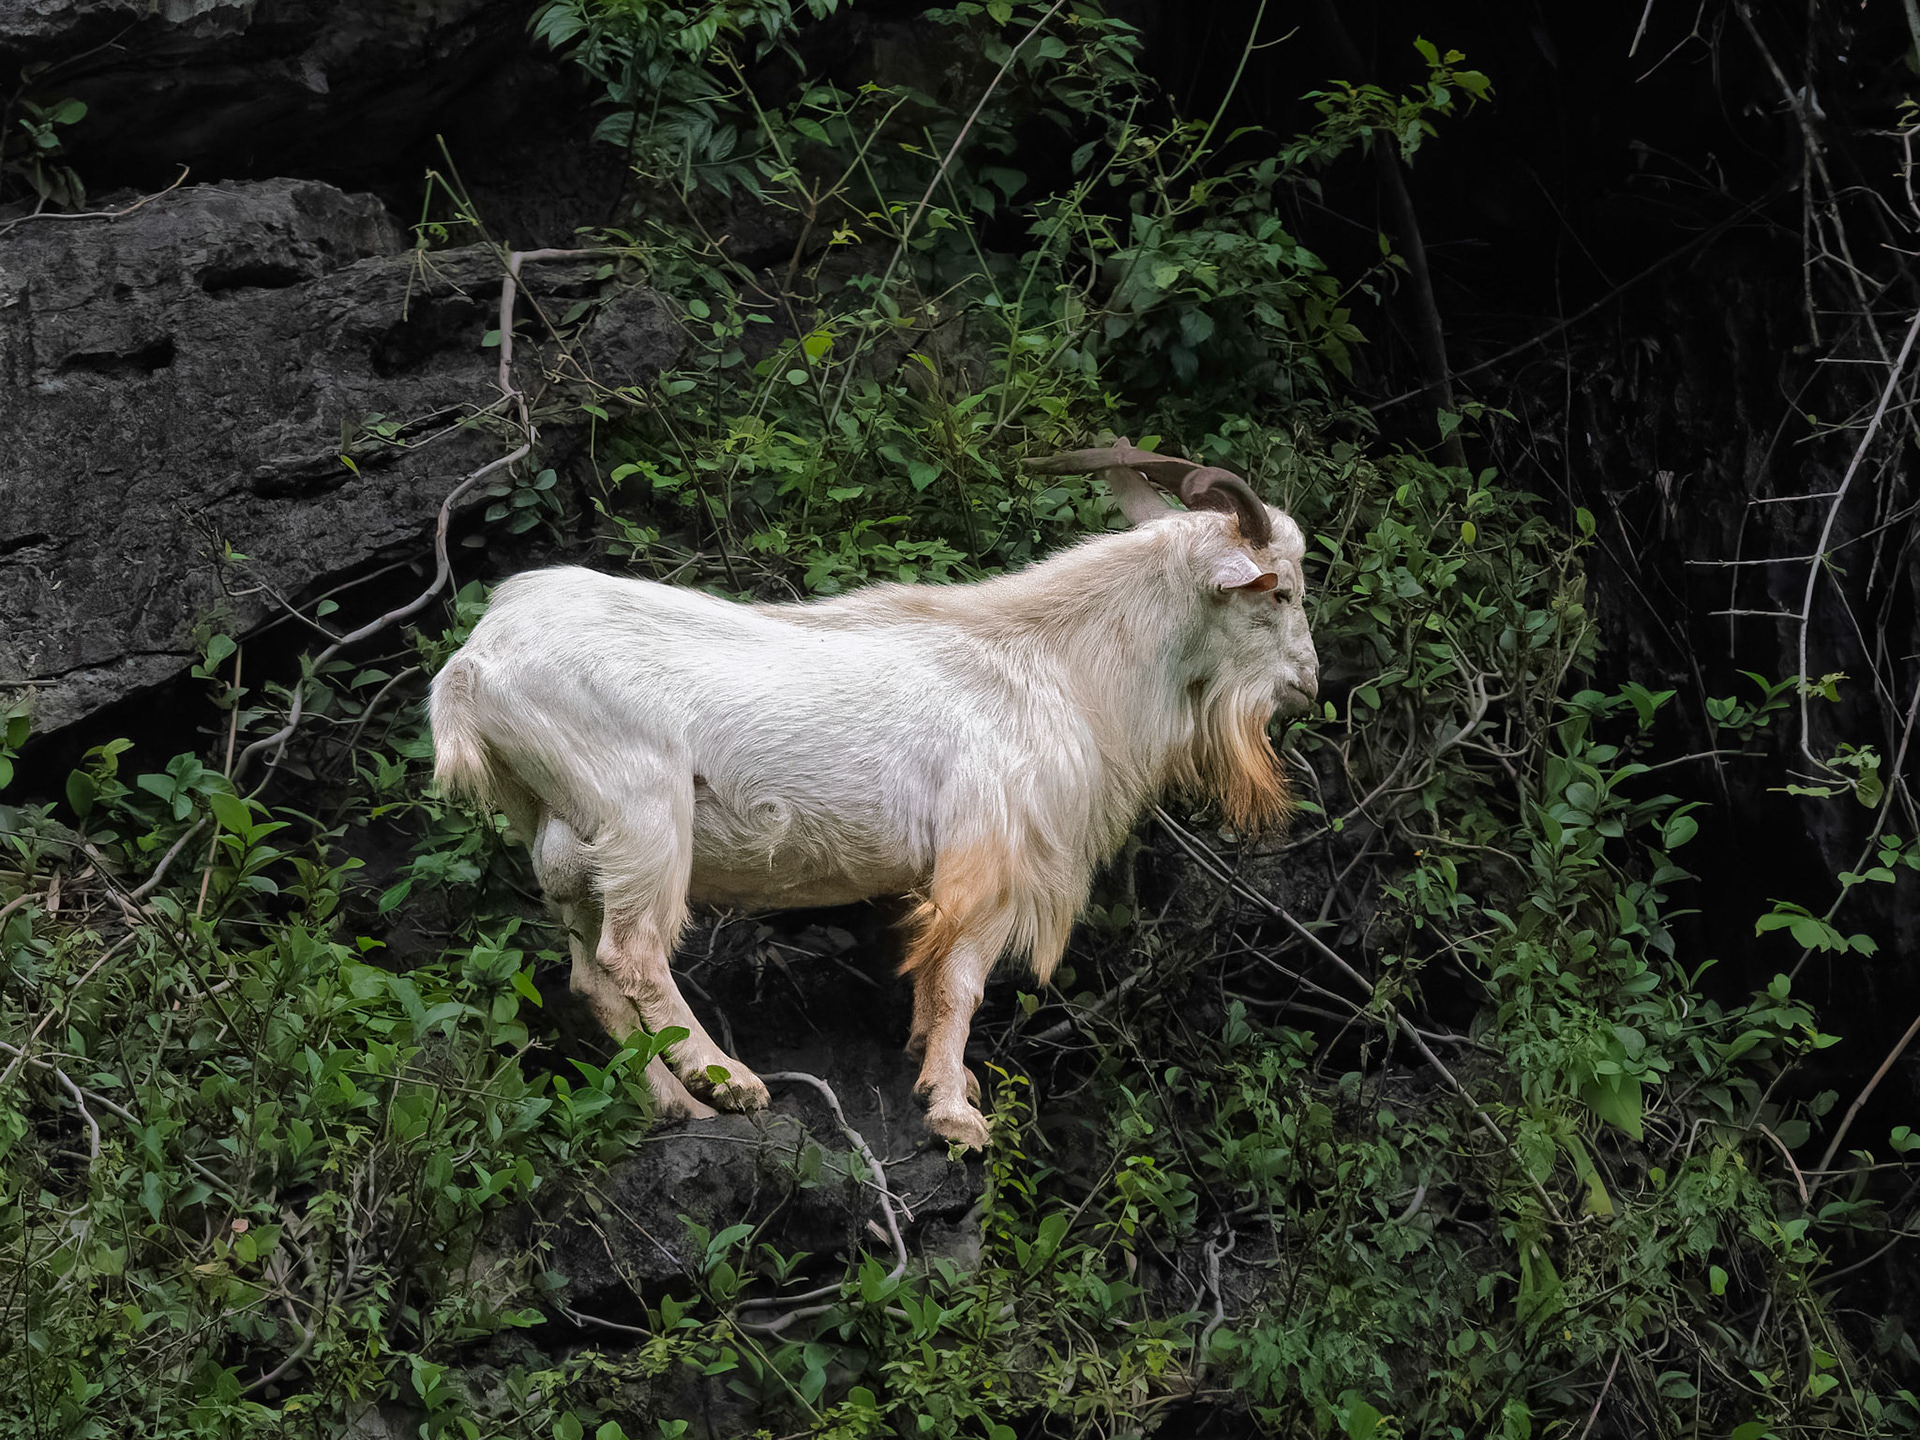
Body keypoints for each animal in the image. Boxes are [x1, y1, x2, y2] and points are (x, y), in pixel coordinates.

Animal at [429, 443, 1317, 1148]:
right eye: (1277, 591)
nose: (1308, 683)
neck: (1048, 661)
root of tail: (475, 665)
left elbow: (930, 983)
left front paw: (930, 1072)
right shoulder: (988, 857)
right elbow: (961, 984)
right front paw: (956, 1115)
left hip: (562, 837)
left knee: (591, 977)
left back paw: (679, 1106)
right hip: (641, 815)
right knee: (634, 954)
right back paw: (730, 1082)